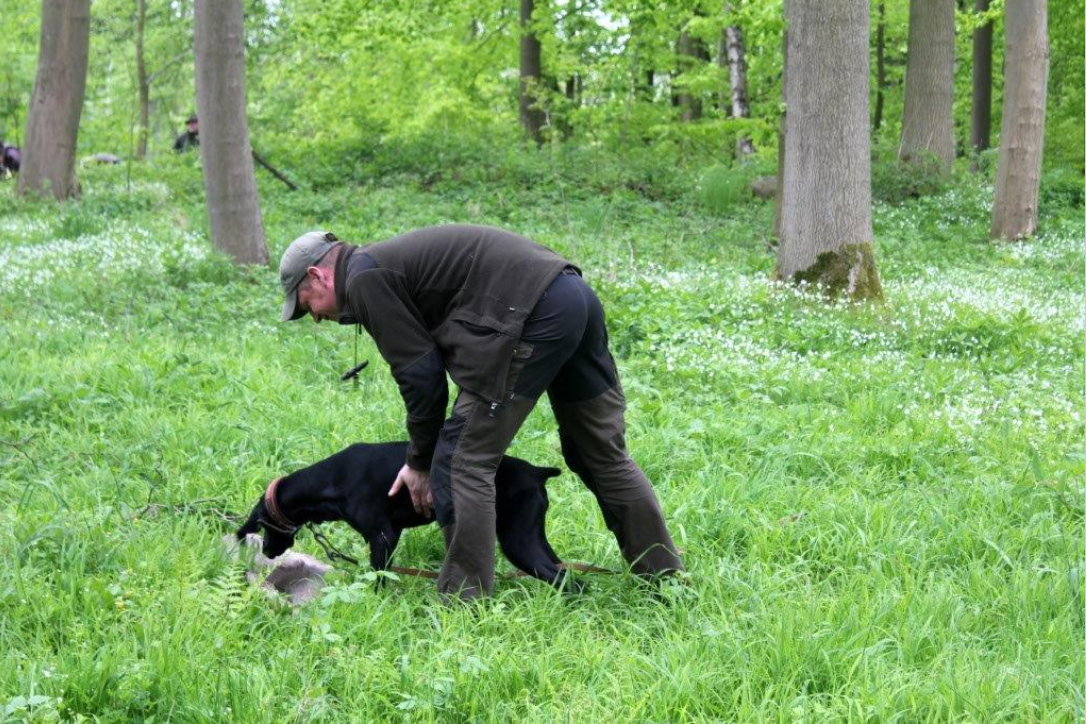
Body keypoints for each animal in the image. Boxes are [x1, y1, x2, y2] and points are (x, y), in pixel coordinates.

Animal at [236, 442, 569, 590]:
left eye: (264, 525)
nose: (267, 550)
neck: (333, 479)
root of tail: (536, 472)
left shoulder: (383, 536)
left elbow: (379, 576)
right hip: (532, 537)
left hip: (517, 542)